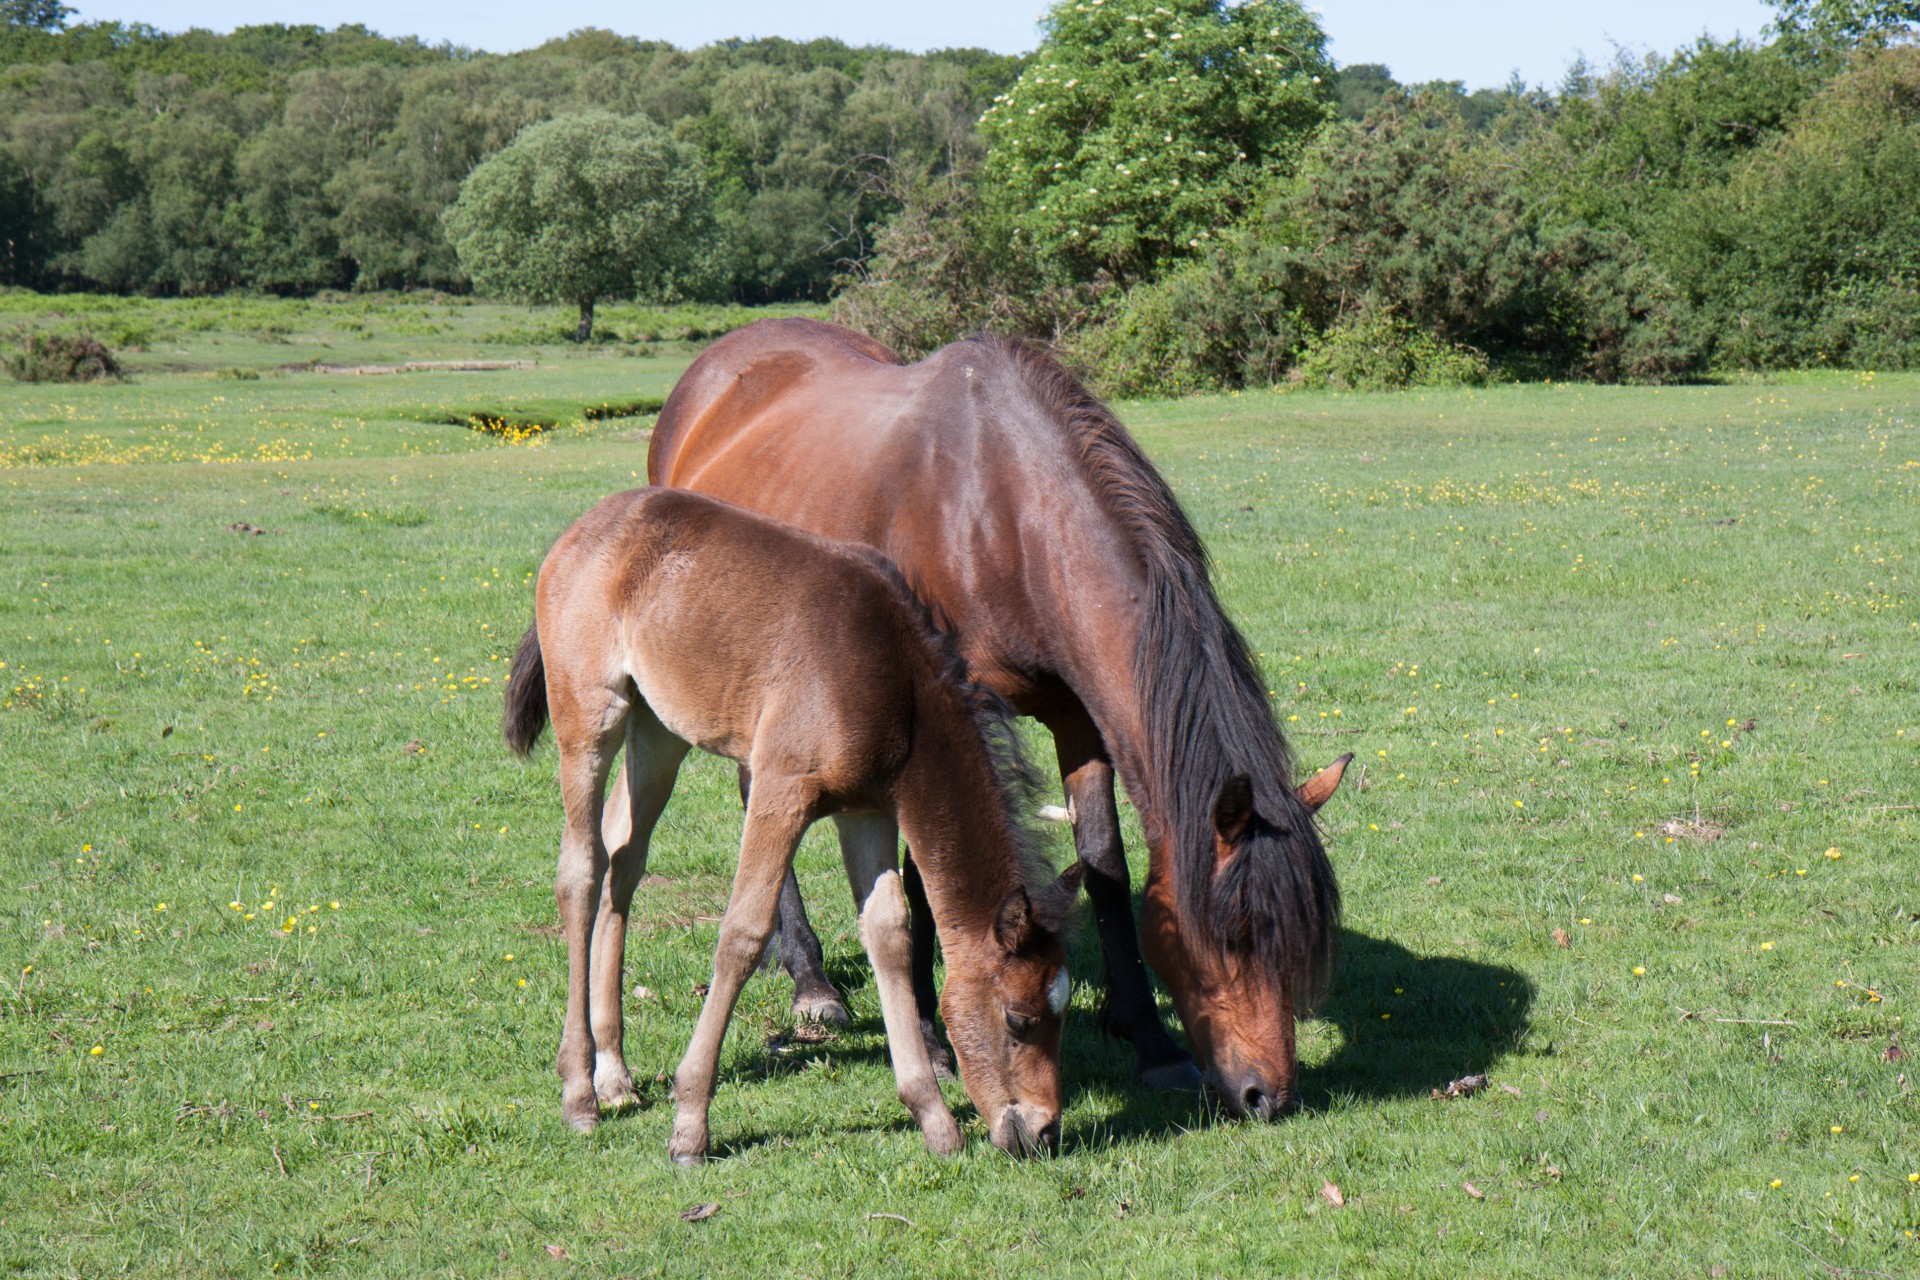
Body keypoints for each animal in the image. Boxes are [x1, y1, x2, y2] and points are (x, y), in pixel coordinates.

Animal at [506, 487, 1082, 1159]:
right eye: (1019, 1019)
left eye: (1062, 1014)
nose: (1043, 1131)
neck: (893, 681)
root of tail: (585, 526)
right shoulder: (780, 788)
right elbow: (744, 932)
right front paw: (691, 1122)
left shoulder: (869, 811)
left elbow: (889, 933)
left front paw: (934, 1118)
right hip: (589, 716)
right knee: (582, 869)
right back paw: (580, 1092)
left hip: (659, 730)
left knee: (625, 859)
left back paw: (616, 1075)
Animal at [637, 320, 1344, 1120]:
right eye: (1233, 931)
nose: (1270, 1097)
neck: (1001, 512)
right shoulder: (941, 720)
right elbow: (920, 882)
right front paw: (931, 1040)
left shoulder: (1079, 717)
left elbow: (1104, 862)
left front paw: (1150, 1041)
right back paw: (812, 982)